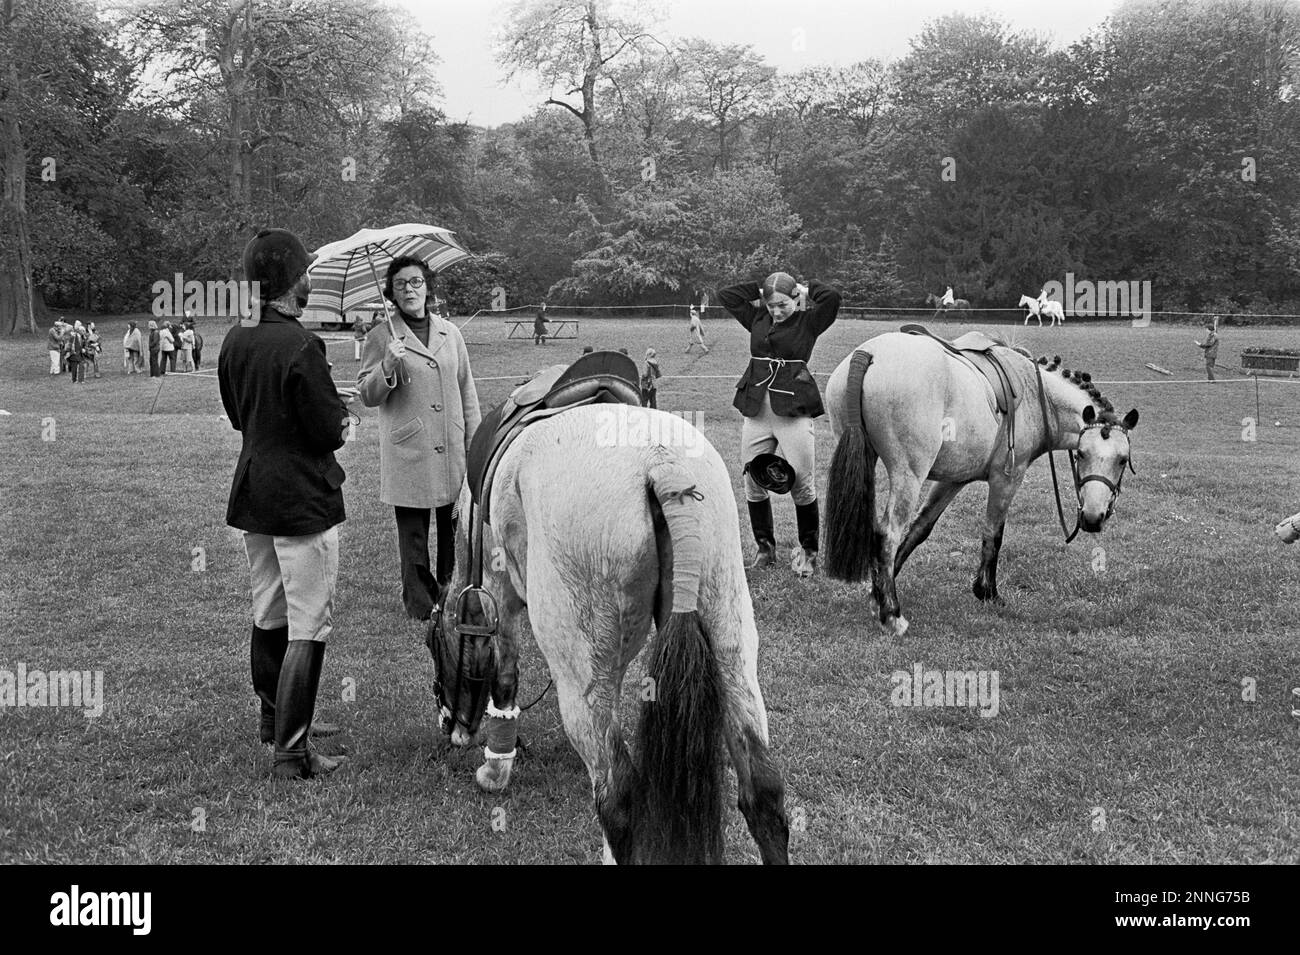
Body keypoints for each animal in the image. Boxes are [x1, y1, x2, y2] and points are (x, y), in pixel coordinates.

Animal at [431, 356, 785, 867]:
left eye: (434, 645)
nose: (451, 728)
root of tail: (662, 463)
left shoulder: (499, 595)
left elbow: (505, 676)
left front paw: (496, 770)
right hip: (729, 636)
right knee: (763, 788)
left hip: (582, 674)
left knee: (617, 795)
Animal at [821, 327, 1138, 634]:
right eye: (1082, 454)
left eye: (1122, 459)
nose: (1093, 518)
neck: (1038, 396)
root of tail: (868, 353)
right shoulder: (1007, 478)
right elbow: (993, 534)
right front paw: (987, 591)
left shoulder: (951, 481)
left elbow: (919, 529)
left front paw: (877, 595)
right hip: (908, 474)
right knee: (887, 533)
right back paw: (892, 615)